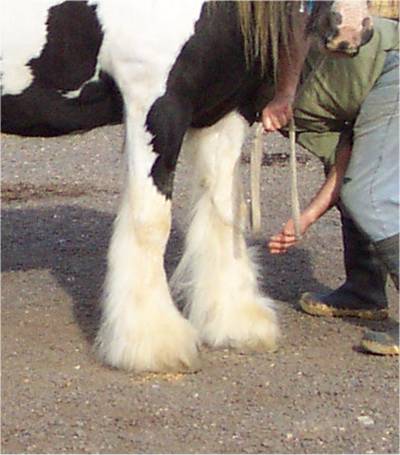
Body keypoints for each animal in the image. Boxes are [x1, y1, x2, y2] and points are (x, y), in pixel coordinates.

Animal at [1, 0, 374, 374]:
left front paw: (234, 321)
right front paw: (153, 343)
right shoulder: (155, 105)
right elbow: (151, 221)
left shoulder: (225, 111)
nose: (351, 28)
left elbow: (225, 213)